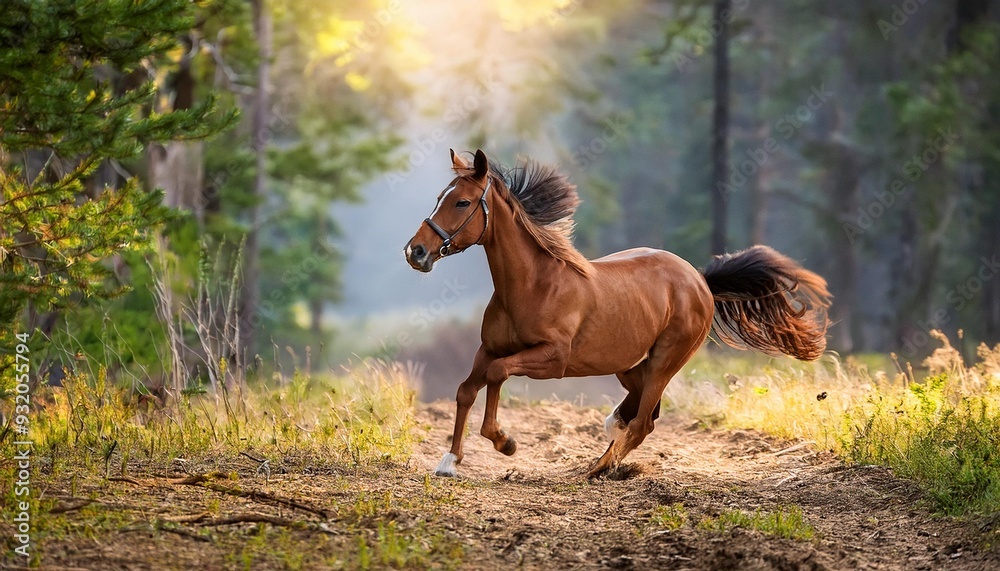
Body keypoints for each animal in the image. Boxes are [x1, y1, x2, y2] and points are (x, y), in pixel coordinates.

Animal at [404, 149, 831, 478]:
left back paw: (600, 466)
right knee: (643, 408)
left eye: (461, 202)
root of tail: (700, 280)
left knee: (644, 421)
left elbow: (496, 375)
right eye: (439, 197)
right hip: (629, 362)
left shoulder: (552, 359)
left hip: (666, 360)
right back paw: (612, 430)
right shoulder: (488, 349)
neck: (533, 285)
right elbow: (466, 389)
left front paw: (504, 442)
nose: (416, 252)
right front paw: (449, 461)